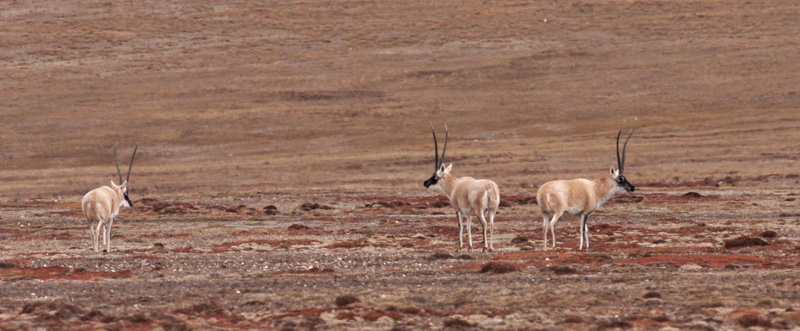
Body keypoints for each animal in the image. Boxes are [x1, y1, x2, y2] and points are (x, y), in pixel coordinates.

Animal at [424, 123, 500, 253]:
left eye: (434, 176)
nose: (425, 183)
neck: (454, 184)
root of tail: (489, 186)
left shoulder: (458, 209)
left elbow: (460, 226)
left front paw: (459, 247)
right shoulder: (468, 213)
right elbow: (468, 227)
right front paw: (470, 247)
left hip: (480, 211)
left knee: (484, 223)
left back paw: (484, 248)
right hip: (492, 210)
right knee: (491, 224)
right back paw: (491, 247)